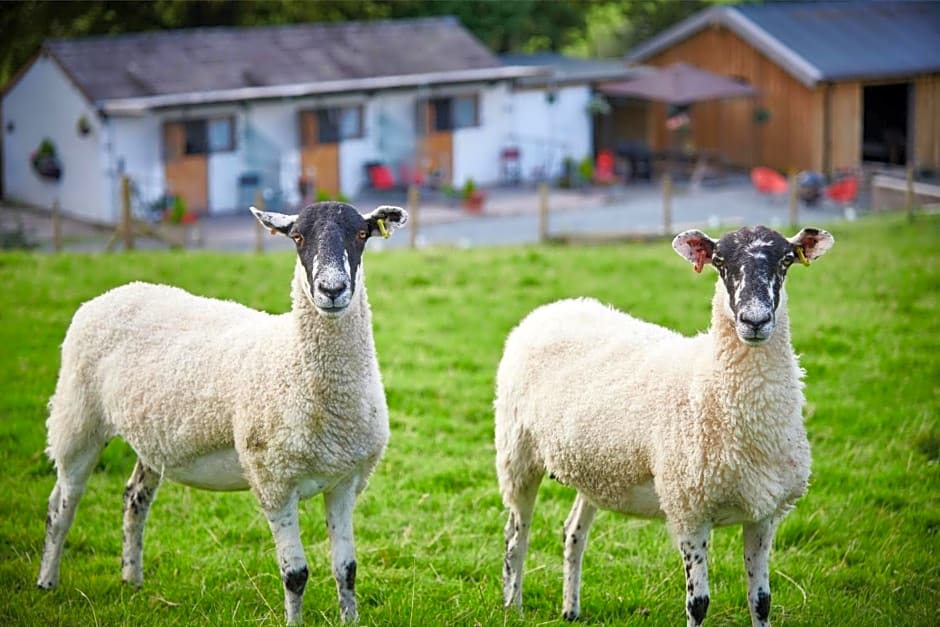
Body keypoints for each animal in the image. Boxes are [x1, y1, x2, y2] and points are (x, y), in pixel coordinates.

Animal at [36, 204, 408, 624]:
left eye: (361, 235)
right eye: (297, 237)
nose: (332, 290)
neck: (294, 359)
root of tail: (117, 291)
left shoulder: (345, 480)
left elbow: (346, 569)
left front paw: (351, 618)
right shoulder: (273, 482)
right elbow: (296, 574)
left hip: (151, 437)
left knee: (134, 498)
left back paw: (131, 580)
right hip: (78, 415)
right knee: (61, 505)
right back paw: (47, 581)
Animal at [496, 226, 832, 627]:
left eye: (786, 260)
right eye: (720, 262)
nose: (755, 321)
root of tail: (555, 307)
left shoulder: (764, 513)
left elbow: (761, 600)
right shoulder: (689, 510)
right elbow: (698, 603)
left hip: (593, 468)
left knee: (573, 531)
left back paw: (570, 609)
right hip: (517, 452)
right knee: (516, 535)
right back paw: (513, 607)